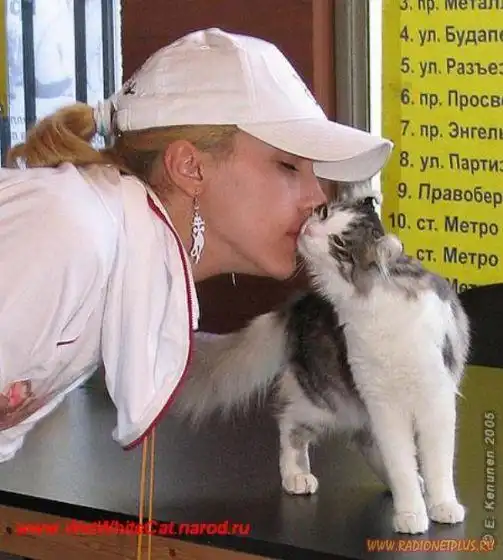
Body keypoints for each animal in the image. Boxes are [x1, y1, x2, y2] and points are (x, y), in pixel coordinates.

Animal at [173, 184, 470, 535]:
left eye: (340, 243)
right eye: (326, 213)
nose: (310, 228)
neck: (374, 312)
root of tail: (302, 301)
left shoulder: (436, 402)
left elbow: (438, 464)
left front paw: (442, 505)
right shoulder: (384, 405)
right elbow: (401, 464)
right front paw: (411, 512)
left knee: (361, 442)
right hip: (329, 401)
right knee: (289, 423)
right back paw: (296, 475)